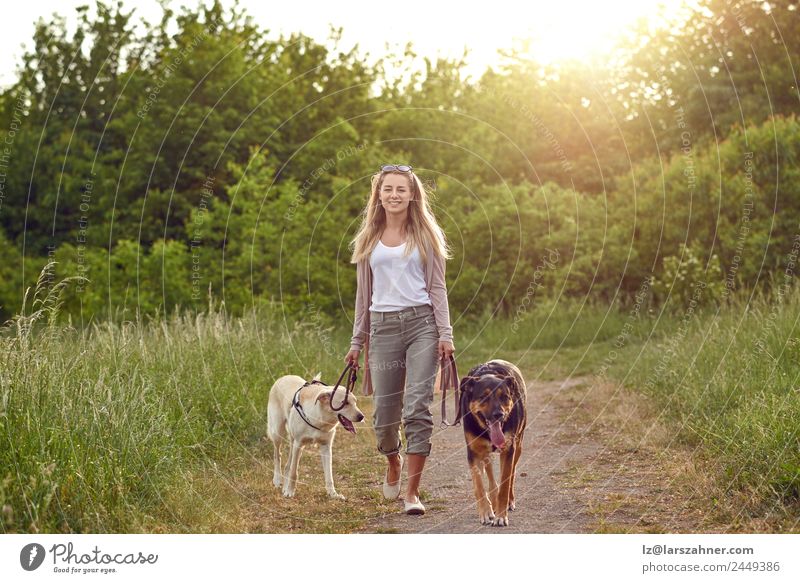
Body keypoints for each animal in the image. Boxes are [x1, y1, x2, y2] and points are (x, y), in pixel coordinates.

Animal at [272, 372, 366, 500]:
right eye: (344, 403)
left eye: (355, 402)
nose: (361, 417)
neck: (320, 418)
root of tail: (284, 377)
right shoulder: (299, 444)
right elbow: (294, 472)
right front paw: (290, 492)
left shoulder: (326, 447)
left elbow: (329, 475)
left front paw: (333, 494)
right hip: (277, 432)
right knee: (278, 454)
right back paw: (277, 480)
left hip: (292, 440)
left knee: (288, 465)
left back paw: (284, 487)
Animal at [460, 358, 528, 528]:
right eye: (484, 397)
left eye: (504, 396)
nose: (499, 414)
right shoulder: (473, 452)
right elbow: (479, 486)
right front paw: (485, 513)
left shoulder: (509, 449)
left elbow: (505, 484)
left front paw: (501, 516)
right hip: (484, 452)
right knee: (489, 473)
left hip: (518, 445)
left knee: (512, 473)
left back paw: (508, 501)